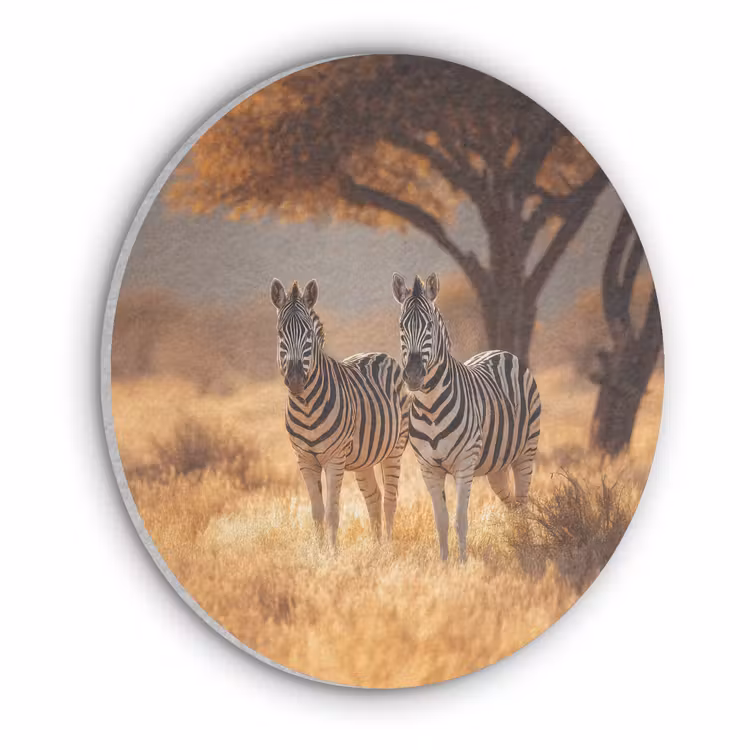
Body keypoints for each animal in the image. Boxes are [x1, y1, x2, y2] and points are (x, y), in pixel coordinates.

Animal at [271, 278, 409, 549]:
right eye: (281, 333)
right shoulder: (305, 460)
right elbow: (317, 512)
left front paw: (333, 554)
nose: (295, 380)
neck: (306, 406)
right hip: (363, 458)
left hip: (395, 449)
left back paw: (387, 548)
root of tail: (380, 354)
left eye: (308, 334)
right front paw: (319, 551)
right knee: (374, 497)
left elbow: (333, 512)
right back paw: (376, 549)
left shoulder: (334, 458)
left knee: (390, 499)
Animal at [391, 272, 541, 562]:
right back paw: (517, 540)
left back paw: (527, 546)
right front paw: (444, 564)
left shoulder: (464, 463)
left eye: (429, 325)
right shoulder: (428, 468)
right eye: (402, 326)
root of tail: (501, 352)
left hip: (526, 453)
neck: (430, 406)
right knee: (511, 504)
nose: (413, 376)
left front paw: (462, 564)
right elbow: (440, 520)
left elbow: (460, 520)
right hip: (496, 465)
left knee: (523, 502)